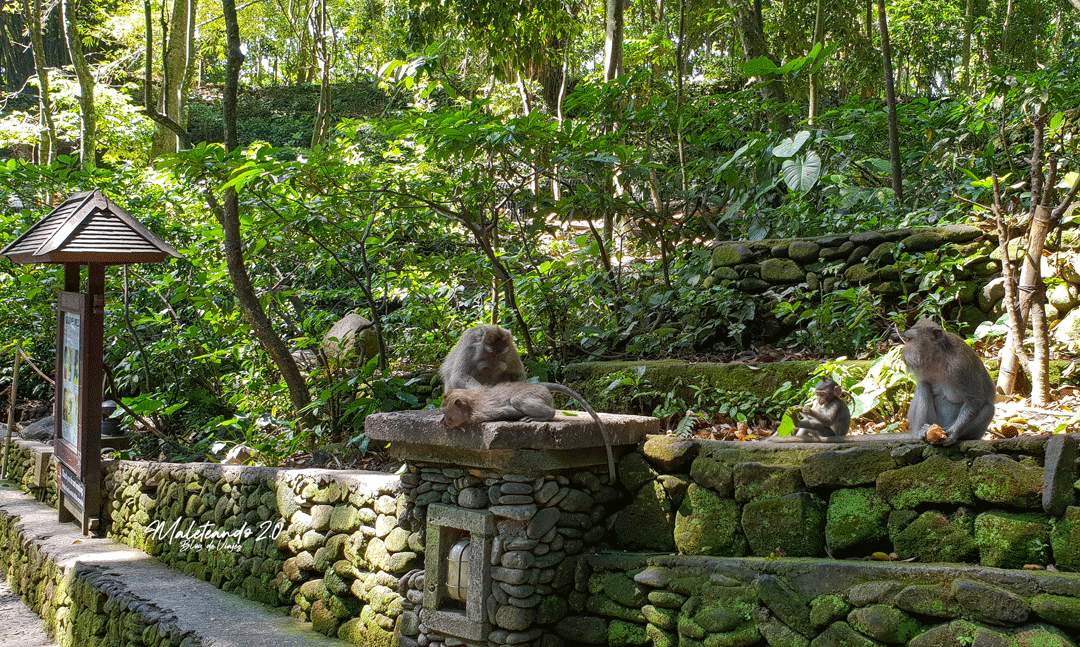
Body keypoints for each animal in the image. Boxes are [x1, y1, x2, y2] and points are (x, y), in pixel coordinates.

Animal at [440, 382, 616, 481]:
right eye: (444, 414)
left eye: (449, 415)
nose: (446, 423)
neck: (469, 404)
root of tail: (539, 386)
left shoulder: (481, 412)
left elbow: (507, 410)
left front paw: (460, 425)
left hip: (536, 395)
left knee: (518, 400)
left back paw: (546, 414)